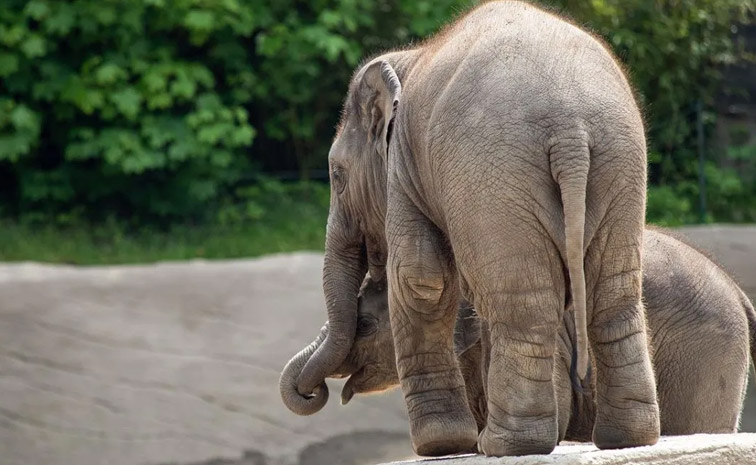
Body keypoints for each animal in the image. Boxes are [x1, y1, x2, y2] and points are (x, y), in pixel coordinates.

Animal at [280, 1, 660, 456]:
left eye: (336, 176)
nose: (313, 393)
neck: (409, 58)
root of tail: (571, 130)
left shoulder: (403, 168)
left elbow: (421, 279)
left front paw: (440, 446)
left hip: (494, 175)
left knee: (523, 300)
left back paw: (505, 444)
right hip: (620, 163)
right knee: (612, 292)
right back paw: (626, 439)